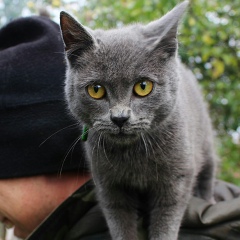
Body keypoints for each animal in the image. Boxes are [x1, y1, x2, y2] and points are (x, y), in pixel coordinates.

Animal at [60, 0, 218, 239]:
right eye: (96, 90)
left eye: (143, 86)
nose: (120, 118)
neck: (134, 157)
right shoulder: (109, 186)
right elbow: (119, 223)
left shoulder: (177, 180)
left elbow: (166, 222)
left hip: (205, 142)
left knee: (208, 173)